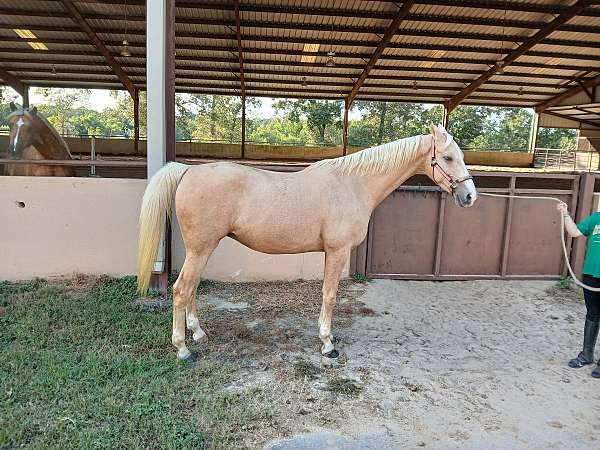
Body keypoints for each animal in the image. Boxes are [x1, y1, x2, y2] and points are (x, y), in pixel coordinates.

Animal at [137, 124, 478, 362]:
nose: (470, 196)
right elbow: (330, 296)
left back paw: (198, 333)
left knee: (190, 289)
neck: (353, 184)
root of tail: (188, 171)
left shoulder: (331, 252)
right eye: (447, 157)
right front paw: (328, 345)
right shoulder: (338, 251)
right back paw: (183, 349)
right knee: (182, 290)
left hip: (201, 249)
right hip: (201, 249)